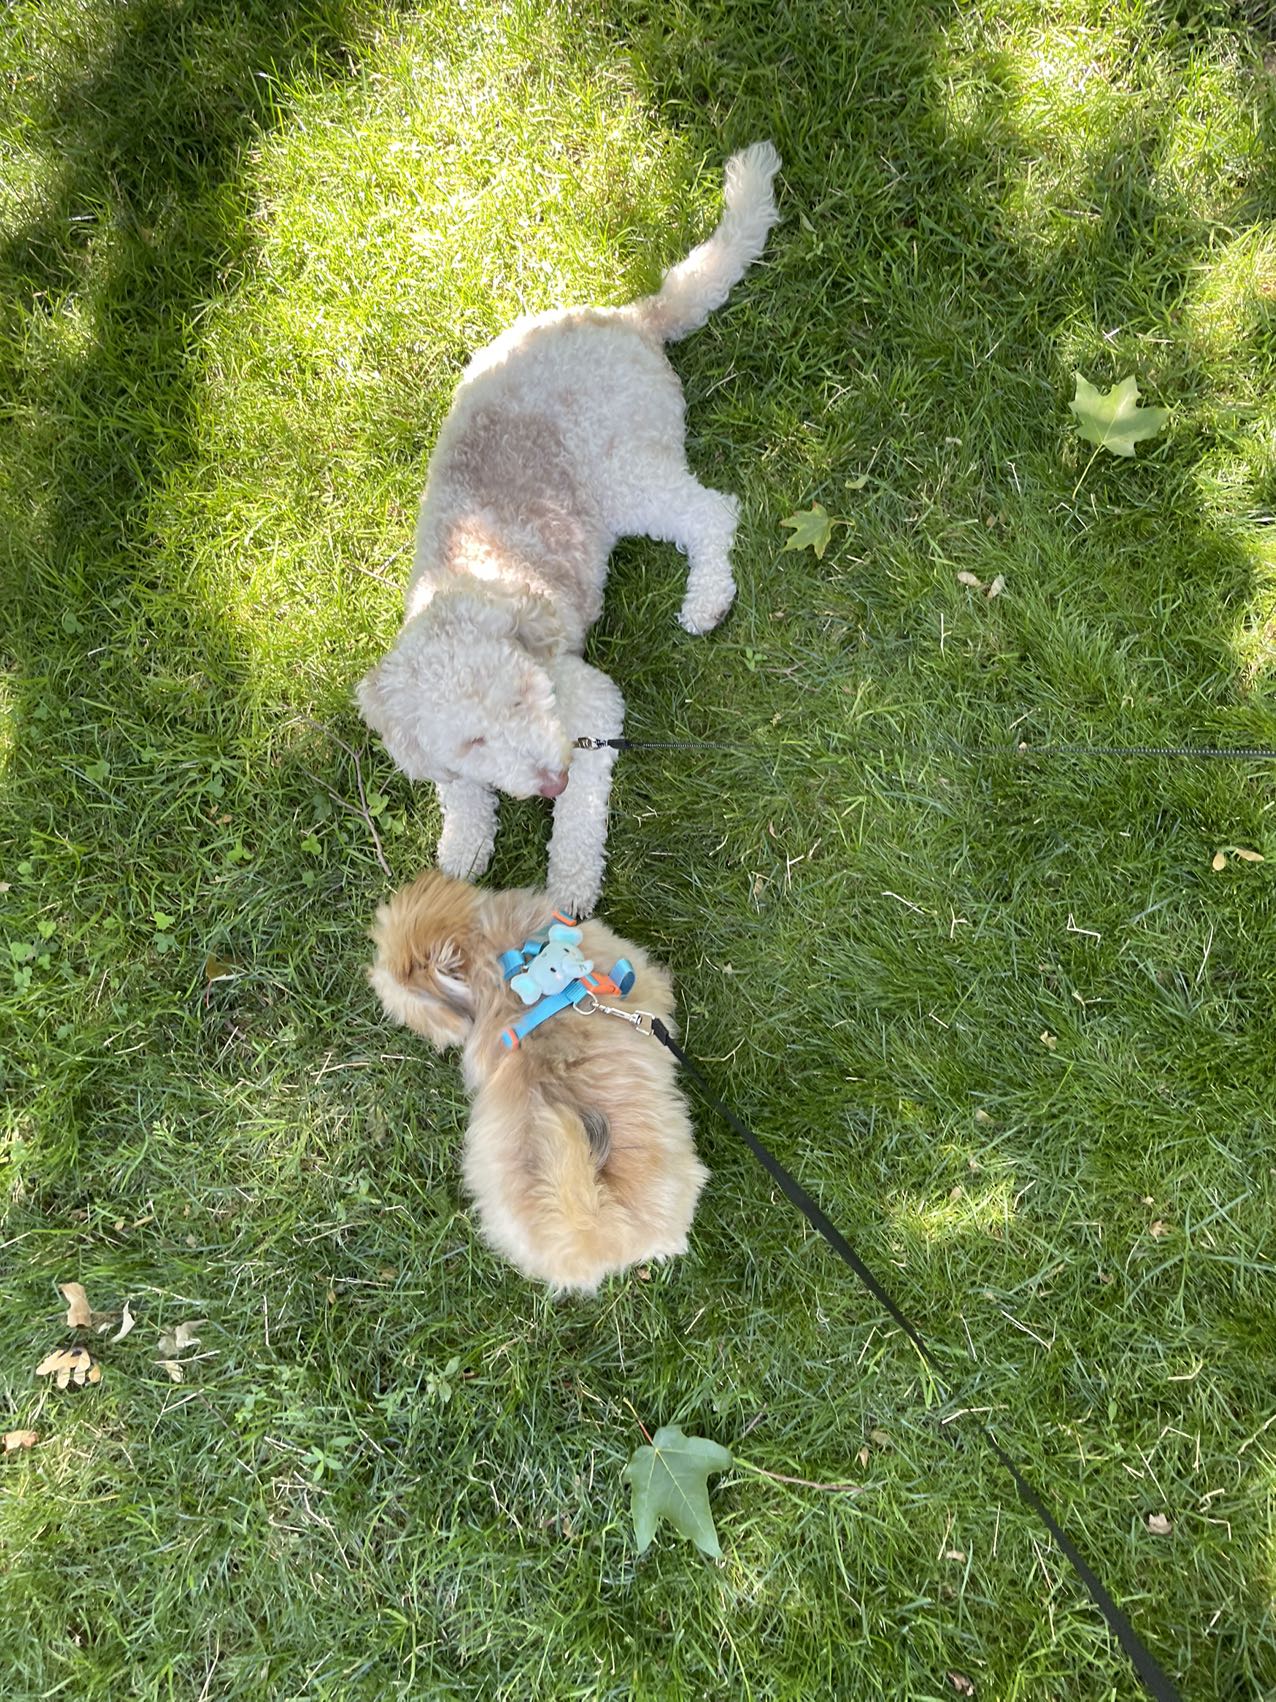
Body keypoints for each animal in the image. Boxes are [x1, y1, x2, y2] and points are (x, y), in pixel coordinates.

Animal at [355, 142, 786, 919]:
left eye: (526, 698)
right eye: (474, 738)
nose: (548, 778)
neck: (465, 582)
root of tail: (629, 318)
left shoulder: (589, 707)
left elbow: (581, 821)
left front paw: (569, 890)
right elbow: (461, 796)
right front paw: (462, 850)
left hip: (623, 474)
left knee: (712, 512)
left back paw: (707, 598)